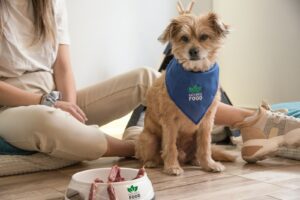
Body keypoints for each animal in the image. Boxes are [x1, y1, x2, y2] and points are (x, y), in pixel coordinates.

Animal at [136, 12, 237, 175]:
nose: (193, 51)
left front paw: (209, 164)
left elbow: (205, 146)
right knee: (150, 155)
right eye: (184, 38)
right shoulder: (170, 121)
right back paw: (152, 162)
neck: (195, 74)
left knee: (195, 153)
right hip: (148, 138)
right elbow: (170, 146)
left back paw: (197, 161)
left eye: (204, 37)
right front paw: (172, 166)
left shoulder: (207, 121)